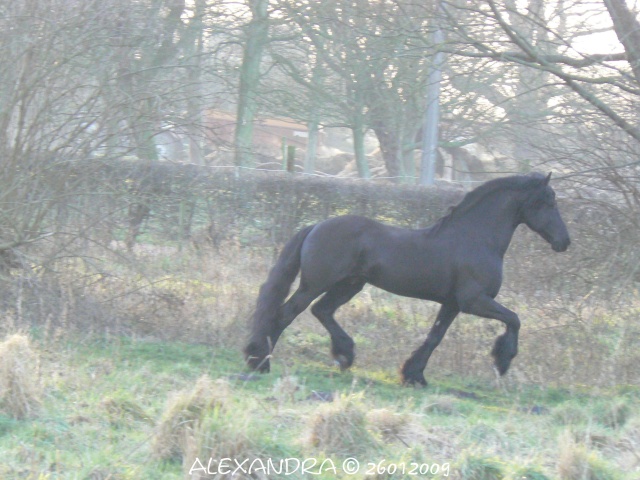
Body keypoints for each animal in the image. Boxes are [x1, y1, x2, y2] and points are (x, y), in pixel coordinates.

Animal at [244, 172, 568, 386]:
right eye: (549, 201)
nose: (564, 242)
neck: (476, 238)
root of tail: (316, 226)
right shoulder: (474, 301)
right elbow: (514, 319)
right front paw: (503, 360)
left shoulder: (452, 304)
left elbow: (435, 337)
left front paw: (414, 375)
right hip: (315, 284)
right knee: (286, 314)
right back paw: (261, 362)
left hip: (349, 285)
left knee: (321, 311)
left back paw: (344, 354)